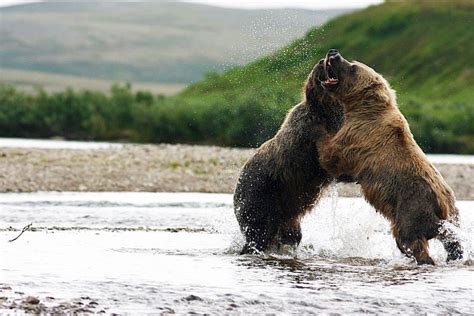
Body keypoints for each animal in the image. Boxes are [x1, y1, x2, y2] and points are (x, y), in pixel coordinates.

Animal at [233, 59, 344, 254]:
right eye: (319, 65)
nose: (325, 58)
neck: (326, 111)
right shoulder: (309, 135)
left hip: (287, 215)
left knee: (291, 234)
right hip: (260, 195)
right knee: (259, 232)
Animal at [316, 49, 462, 266]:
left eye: (353, 67)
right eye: (353, 61)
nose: (334, 53)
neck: (362, 107)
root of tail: (442, 207)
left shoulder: (358, 136)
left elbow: (332, 158)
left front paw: (318, 132)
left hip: (411, 208)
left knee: (410, 239)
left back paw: (422, 259)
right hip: (452, 215)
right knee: (452, 241)